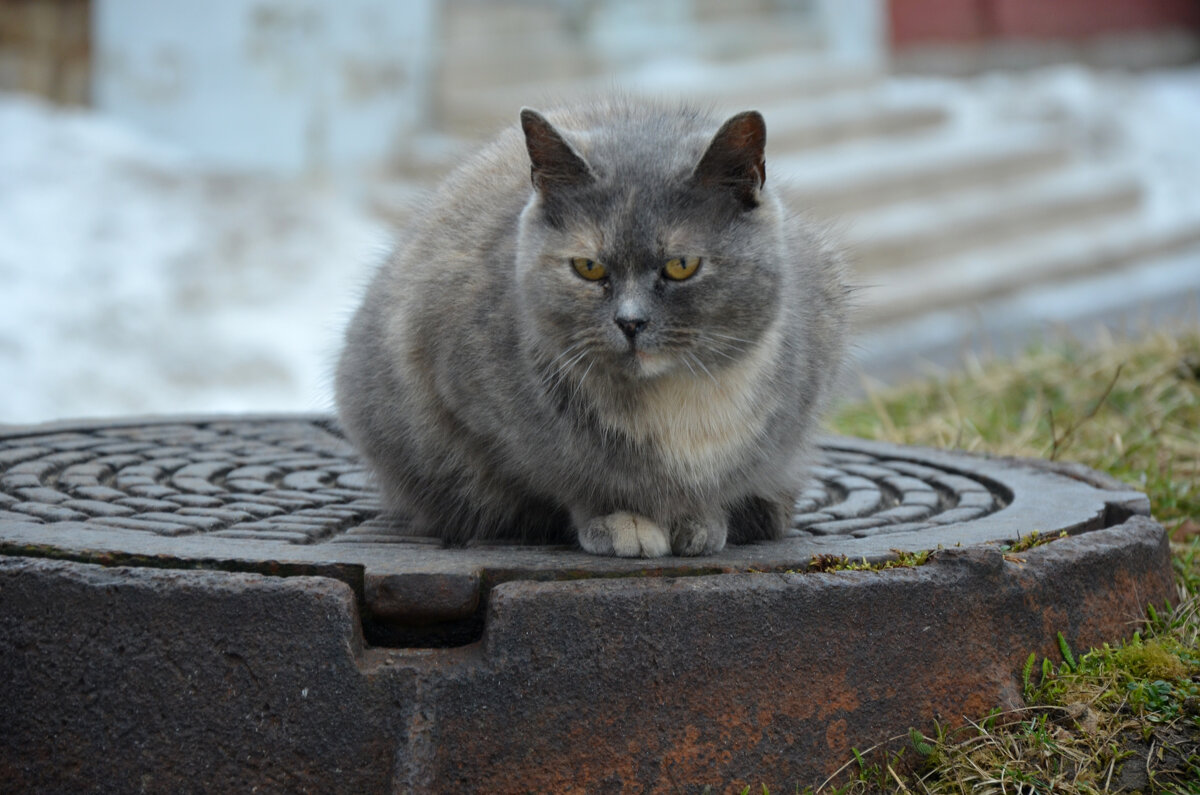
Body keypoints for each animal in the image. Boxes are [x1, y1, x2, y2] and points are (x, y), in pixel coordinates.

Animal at [333, 99, 849, 557]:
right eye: (588, 267)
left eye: (681, 265)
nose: (630, 321)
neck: (678, 400)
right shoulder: (473, 406)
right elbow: (578, 480)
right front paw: (622, 522)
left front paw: (700, 519)